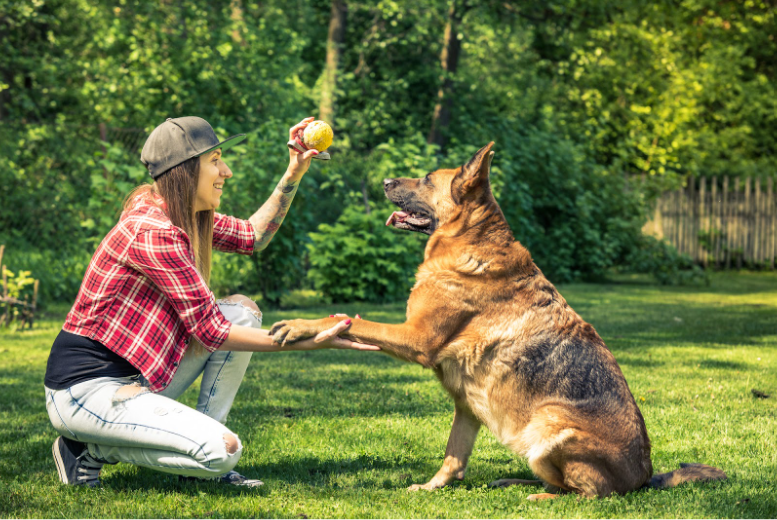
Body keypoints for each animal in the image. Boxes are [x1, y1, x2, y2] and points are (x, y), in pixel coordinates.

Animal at [270, 142, 724, 500]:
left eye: (426, 179)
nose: (383, 181)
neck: (469, 240)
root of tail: (645, 478)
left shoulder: (416, 339)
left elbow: (347, 318)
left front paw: (300, 324)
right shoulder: (466, 404)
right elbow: (453, 457)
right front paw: (432, 487)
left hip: (546, 429)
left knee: (589, 494)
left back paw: (542, 498)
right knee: (561, 483)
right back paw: (517, 483)